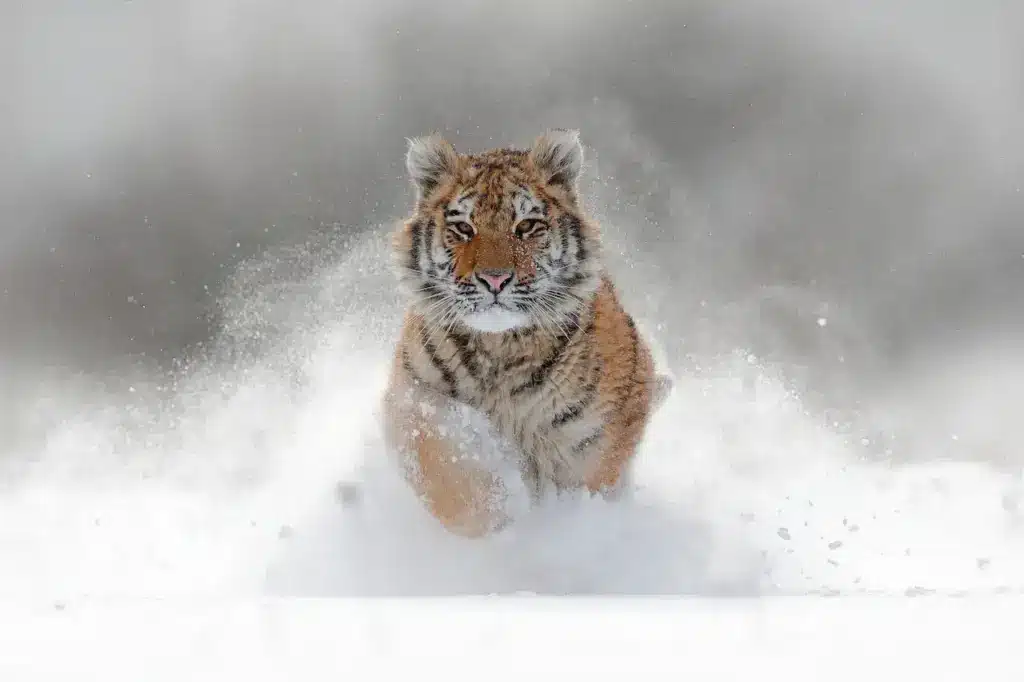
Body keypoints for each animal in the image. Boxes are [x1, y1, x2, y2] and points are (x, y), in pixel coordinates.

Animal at [380, 129, 667, 536]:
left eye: (526, 226)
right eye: (463, 228)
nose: (494, 279)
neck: (501, 348)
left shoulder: (596, 437)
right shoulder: (411, 398)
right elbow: (447, 467)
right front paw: (501, 514)